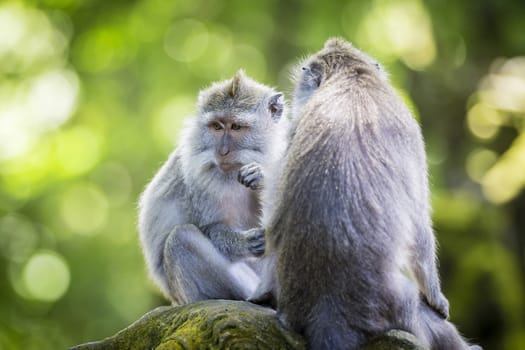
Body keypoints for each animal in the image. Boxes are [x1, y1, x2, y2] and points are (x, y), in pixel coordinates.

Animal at [137, 70, 288, 304]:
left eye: (236, 127)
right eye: (217, 126)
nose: (222, 152)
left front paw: (261, 175)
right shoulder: (201, 182)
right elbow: (211, 227)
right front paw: (245, 243)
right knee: (181, 238)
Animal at [256, 37, 482, 350]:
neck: (352, 76)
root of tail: (328, 310)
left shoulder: (294, 129)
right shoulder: (409, 130)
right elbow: (419, 224)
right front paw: (437, 297)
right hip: (397, 306)